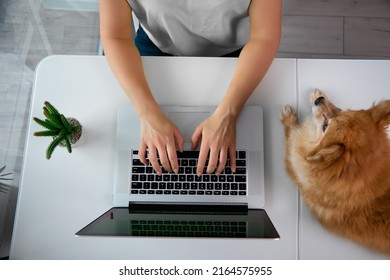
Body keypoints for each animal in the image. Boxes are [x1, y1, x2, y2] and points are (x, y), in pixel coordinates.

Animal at [280, 88, 390, 253]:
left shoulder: (295, 167)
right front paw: (318, 94)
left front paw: (288, 117)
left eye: (325, 126)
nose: (319, 100)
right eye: (341, 110)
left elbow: (291, 136)